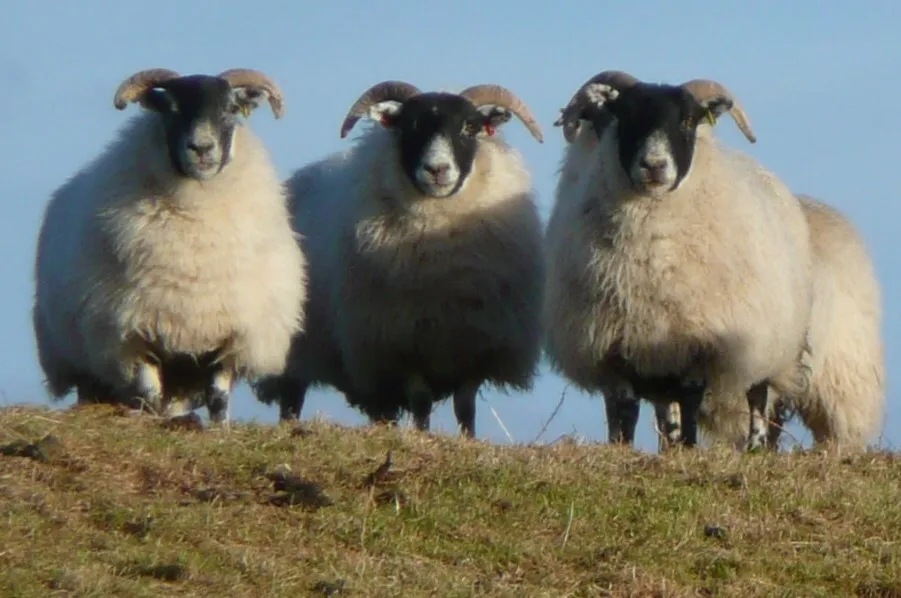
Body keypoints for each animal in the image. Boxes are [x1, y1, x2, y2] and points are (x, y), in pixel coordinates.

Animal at [32, 67, 307, 423]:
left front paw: (219, 428)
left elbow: (218, 397)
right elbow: (148, 391)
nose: (201, 148)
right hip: (81, 358)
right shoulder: (133, 332)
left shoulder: (231, 335)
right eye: (170, 109)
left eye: (231, 108)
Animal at [252, 80, 545, 437]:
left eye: (470, 127)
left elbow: (465, 407)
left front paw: (468, 439)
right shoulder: (401, 344)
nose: (437, 170)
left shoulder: (475, 343)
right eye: (410, 126)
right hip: (300, 349)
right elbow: (421, 402)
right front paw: (422, 436)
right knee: (292, 399)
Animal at [543, 70, 814, 451]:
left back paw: (755, 448)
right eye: (626, 115)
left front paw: (688, 447)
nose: (655, 166)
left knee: (758, 399)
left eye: (687, 120)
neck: (651, 255)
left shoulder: (701, 343)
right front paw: (623, 448)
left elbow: (691, 401)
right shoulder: (611, 349)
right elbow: (624, 409)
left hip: (771, 346)